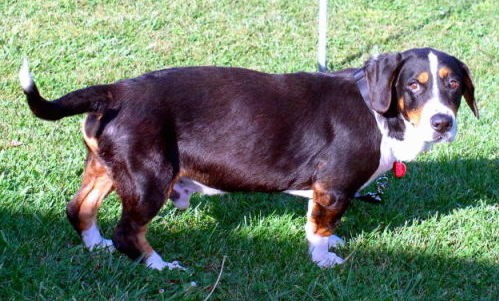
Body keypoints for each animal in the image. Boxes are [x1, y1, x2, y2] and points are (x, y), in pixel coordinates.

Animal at [19, 47, 478, 270]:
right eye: (414, 85)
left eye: (454, 84)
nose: (442, 123)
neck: (379, 111)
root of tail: (114, 91)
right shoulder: (332, 188)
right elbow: (319, 226)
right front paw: (324, 260)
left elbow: (322, 224)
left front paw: (331, 244)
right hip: (149, 177)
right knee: (128, 232)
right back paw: (161, 266)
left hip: (106, 167)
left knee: (79, 209)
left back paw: (96, 246)